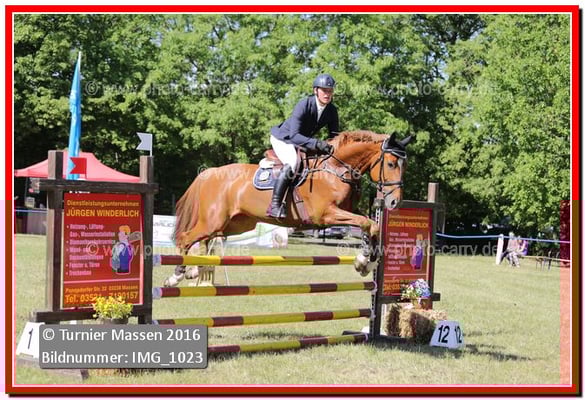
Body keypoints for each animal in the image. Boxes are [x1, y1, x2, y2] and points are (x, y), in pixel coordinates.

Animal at [163, 130, 412, 287]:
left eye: (405, 165)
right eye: (391, 164)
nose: (394, 203)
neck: (335, 169)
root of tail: (210, 172)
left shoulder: (347, 212)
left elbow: (370, 226)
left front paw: (366, 261)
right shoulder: (326, 215)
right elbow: (367, 223)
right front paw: (364, 261)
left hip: (234, 224)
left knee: (205, 241)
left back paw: (195, 270)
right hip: (213, 221)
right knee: (186, 238)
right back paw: (176, 276)